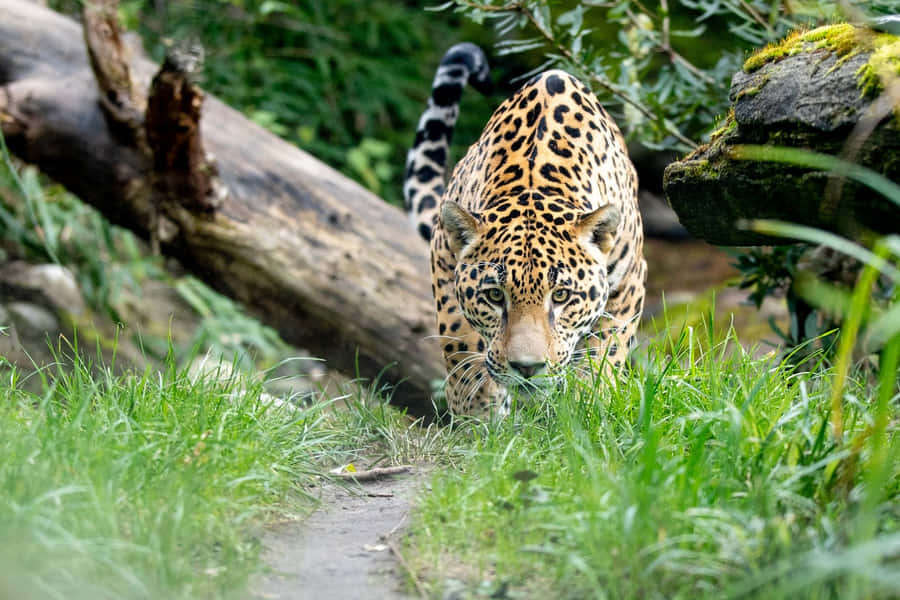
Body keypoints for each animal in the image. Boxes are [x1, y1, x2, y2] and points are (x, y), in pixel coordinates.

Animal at [404, 43, 646, 416]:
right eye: (494, 296)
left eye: (561, 296)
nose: (528, 368)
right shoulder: (444, 263)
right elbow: (461, 349)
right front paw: (479, 417)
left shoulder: (629, 283)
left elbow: (604, 357)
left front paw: (587, 410)